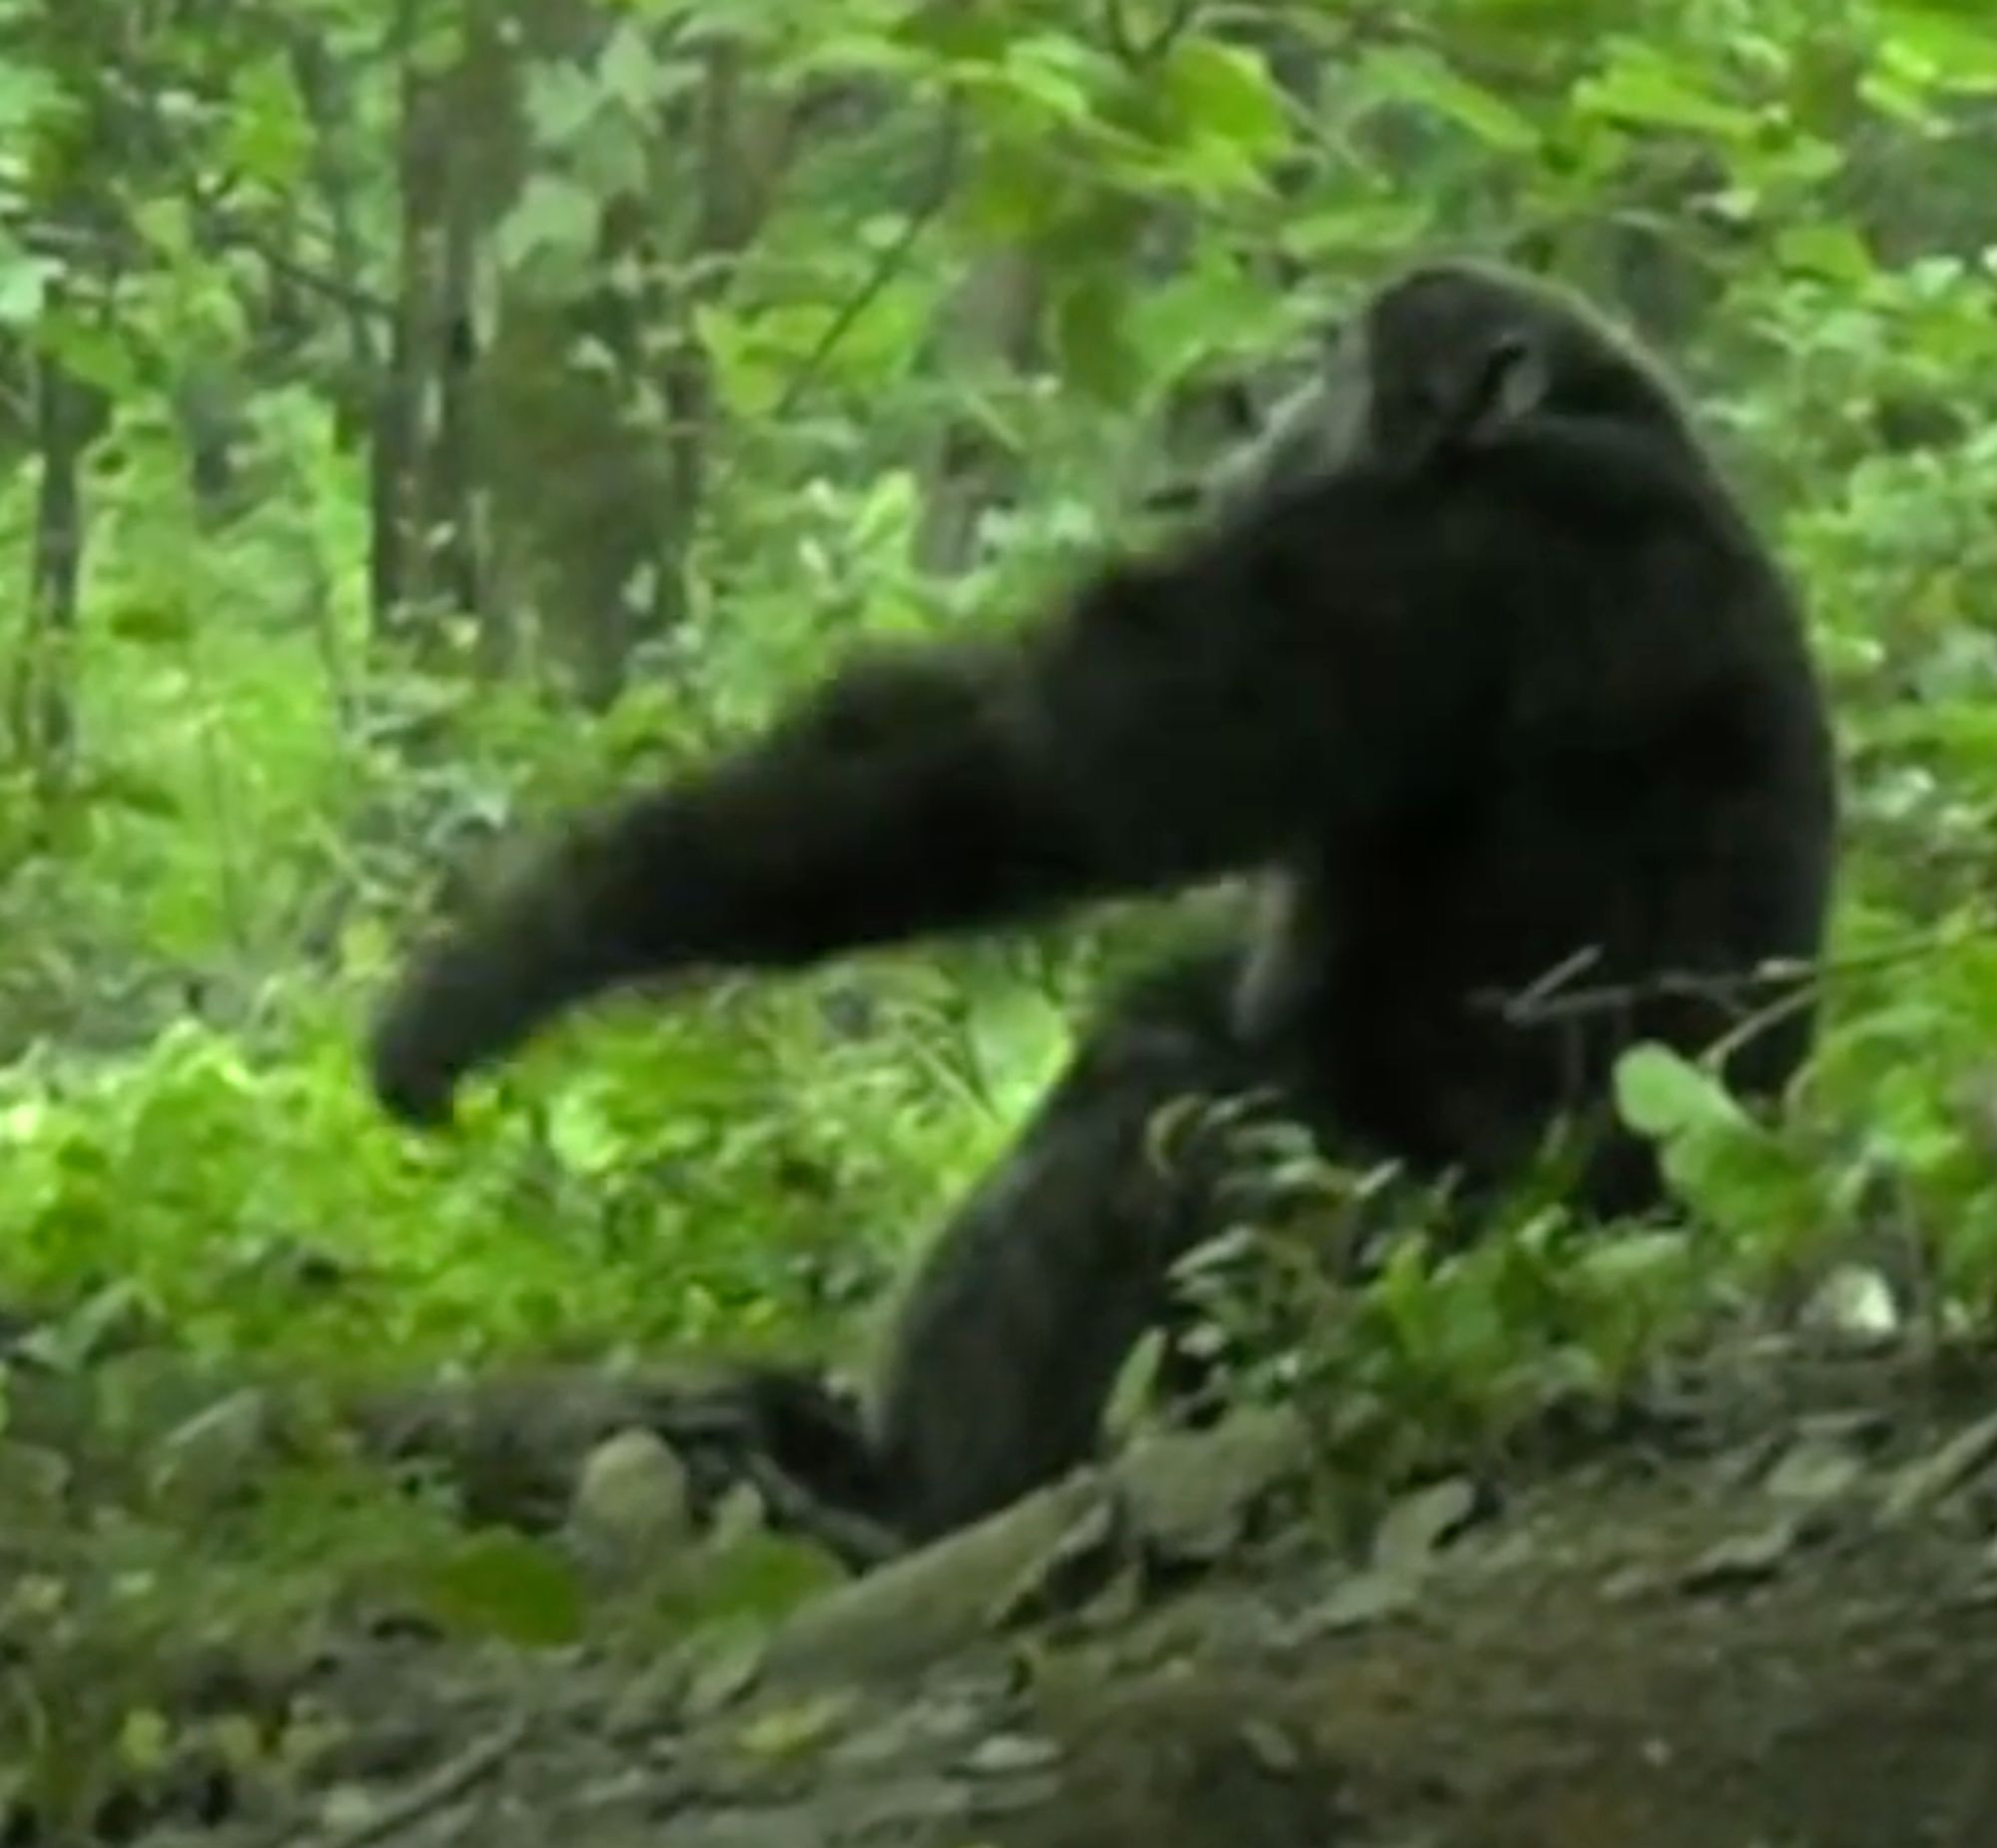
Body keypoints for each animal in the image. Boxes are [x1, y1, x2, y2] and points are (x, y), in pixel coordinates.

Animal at [363, 259, 1837, 1556]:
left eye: (1336, 360)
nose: (1259, 405)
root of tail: (1671, 1248)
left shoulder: (1431, 557)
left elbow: (1042, 766)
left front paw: (522, 944)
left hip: (1415, 1264)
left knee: (1174, 1109)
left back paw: (906, 1503)